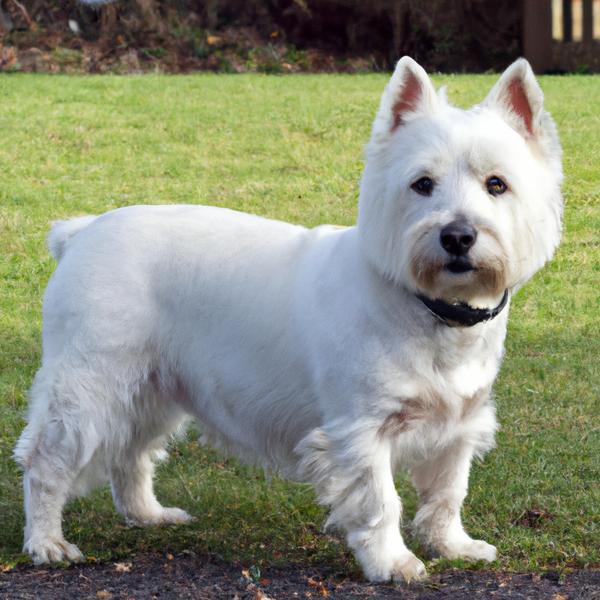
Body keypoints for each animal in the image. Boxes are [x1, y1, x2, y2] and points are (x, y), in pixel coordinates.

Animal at [12, 57, 564, 580]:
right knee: (46, 461)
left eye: (497, 184)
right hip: (90, 387)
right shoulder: (359, 431)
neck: (431, 311)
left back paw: (148, 515)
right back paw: (47, 543)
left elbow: (448, 493)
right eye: (422, 184)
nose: (457, 236)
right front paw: (393, 564)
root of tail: (81, 233)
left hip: (152, 388)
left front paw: (453, 546)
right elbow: (381, 502)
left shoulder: (460, 423)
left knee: (130, 454)